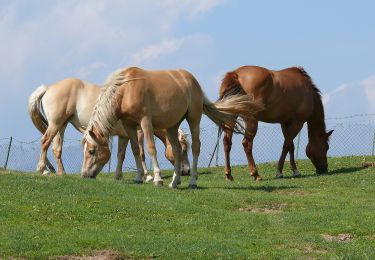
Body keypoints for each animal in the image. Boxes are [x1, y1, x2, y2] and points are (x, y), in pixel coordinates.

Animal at [27, 79, 191, 181]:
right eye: (183, 149)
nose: (187, 171)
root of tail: (48, 88)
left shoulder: (124, 135)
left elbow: (121, 155)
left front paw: (120, 176)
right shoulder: (139, 133)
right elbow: (141, 153)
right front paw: (148, 176)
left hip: (61, 125)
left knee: (56, 148)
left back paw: (61, 172)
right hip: (55, 124)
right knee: (45, 142)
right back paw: (42, 169)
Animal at [80, 66, 260, 189]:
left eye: (91, 151)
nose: (84, 175)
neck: (126, 89)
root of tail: (193, 81)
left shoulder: (145, 122)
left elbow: (150, 148)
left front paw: (157, 179)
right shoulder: (129, 124)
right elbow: (135, 150)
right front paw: (139, 177)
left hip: (193, 119)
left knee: (196, 147)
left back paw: (192, 181)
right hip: (173, 126)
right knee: (176, 149)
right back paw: (175, 181)